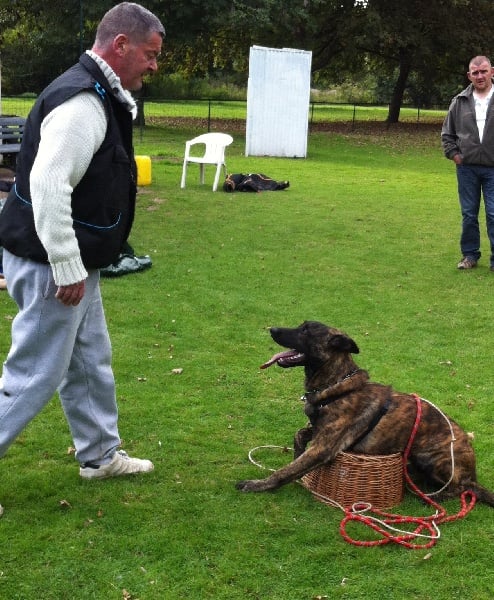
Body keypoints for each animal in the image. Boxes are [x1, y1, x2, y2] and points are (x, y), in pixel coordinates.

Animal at [236, 322, 494, 504]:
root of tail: (473, 473)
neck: (335, 383)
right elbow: (299, 434)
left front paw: (256, 484)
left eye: (306, 331)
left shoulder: (324, 446)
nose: (272, 329)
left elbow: (283, 472)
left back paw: (434, 496)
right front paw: (297, 453)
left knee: (461, 489)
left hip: (434, 459)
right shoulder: (319, 430)